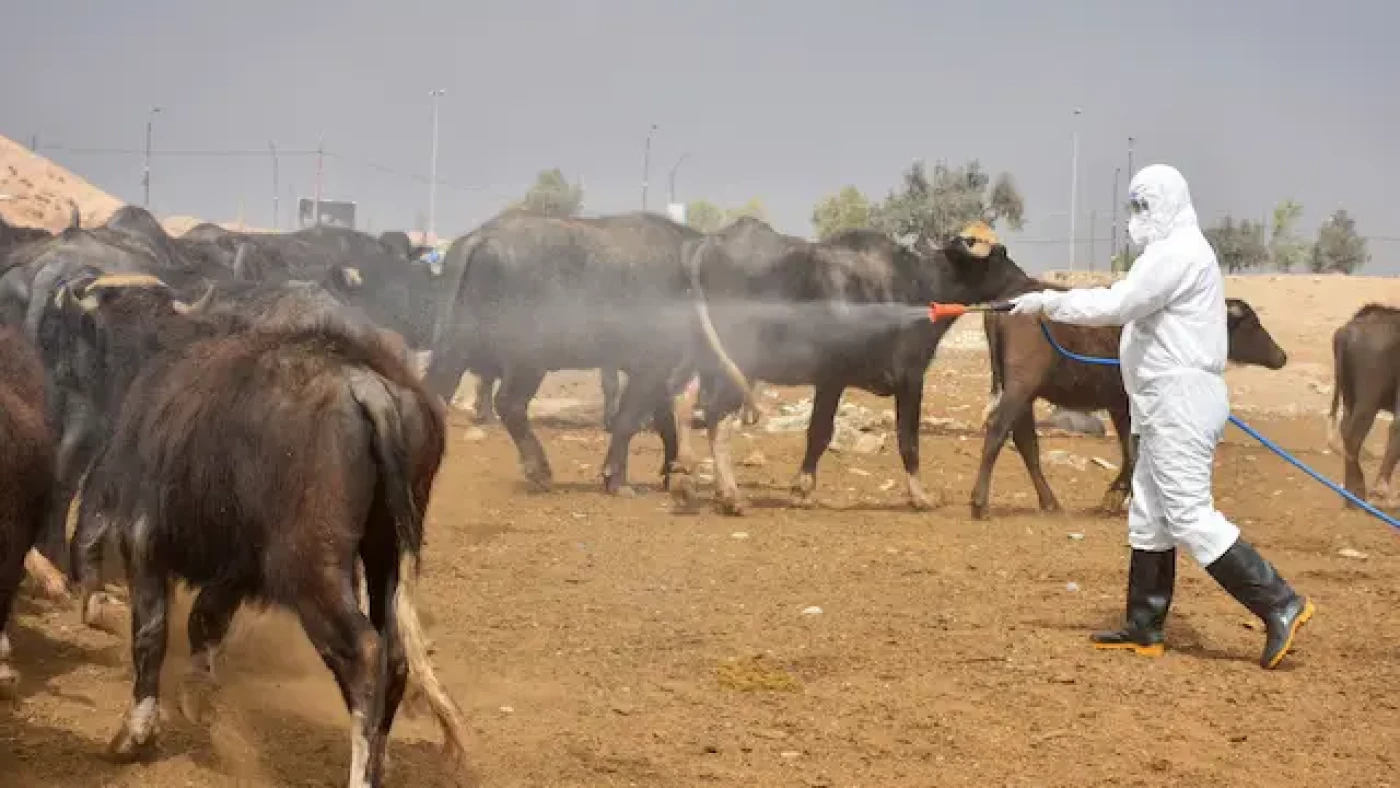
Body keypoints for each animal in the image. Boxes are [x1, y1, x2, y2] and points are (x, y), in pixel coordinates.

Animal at [51, 274, 467, 783]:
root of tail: (366, 386)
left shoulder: (144, 540)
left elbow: (151, 633)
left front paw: (134, 734)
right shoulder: (238, 567)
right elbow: (205, 620)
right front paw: (197, 696)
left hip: (311, 571)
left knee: (365, 653)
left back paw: (360, 772)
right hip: (385, 553)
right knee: (395, 655)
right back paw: (380, 761)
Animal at [974, 289, 1288, 517]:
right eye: (1252, 323)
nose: (1281, 356)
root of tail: (1003, 309)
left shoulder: (1119, 406)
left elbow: (1129, 450)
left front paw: (1115, 497)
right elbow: (1135, 450)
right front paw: (1120, 497)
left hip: (1024, 395)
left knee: (1026, 443)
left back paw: (1050, 503)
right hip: (1020, 388)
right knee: (998, 430)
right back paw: (980, 504)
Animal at [1321, 305, 1400, 503]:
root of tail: (1345, 331)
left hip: (1349, 393)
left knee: (1345, 428)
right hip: (1368, 397)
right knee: (1355, 434)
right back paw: (1366, 492)